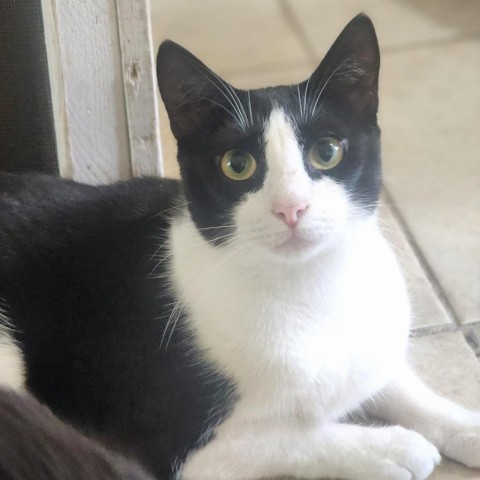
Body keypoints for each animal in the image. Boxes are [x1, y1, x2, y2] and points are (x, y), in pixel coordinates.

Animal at [0, 13, 480, 478]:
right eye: (236, 164)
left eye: (328, 152)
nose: (291, 207)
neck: (307, 287)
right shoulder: (182, 449)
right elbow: (289, 439)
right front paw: (394, 447)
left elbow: (396, 382)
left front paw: (466, 428)